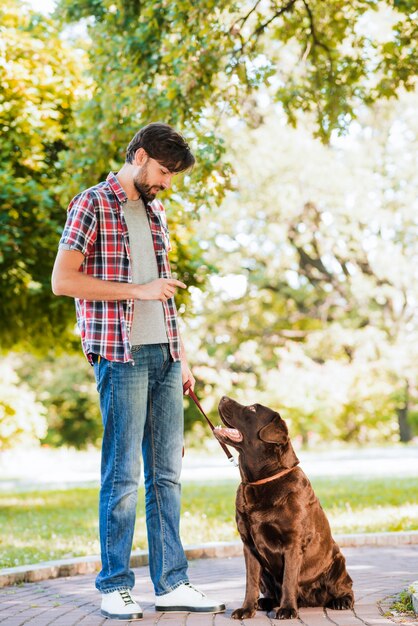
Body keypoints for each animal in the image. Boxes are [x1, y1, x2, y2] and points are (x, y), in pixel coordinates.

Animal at [214, 394, 354, 620]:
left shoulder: (292, 542)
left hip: (338, 561)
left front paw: (287, 609)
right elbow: (250, 582)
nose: (224, 397)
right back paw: (265, 602)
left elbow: (289, 578)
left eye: (252, 409)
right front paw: (247, 609)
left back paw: (340, 601)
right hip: (267, 574)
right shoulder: (249, 545)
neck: (260, 481)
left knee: (347, 587)